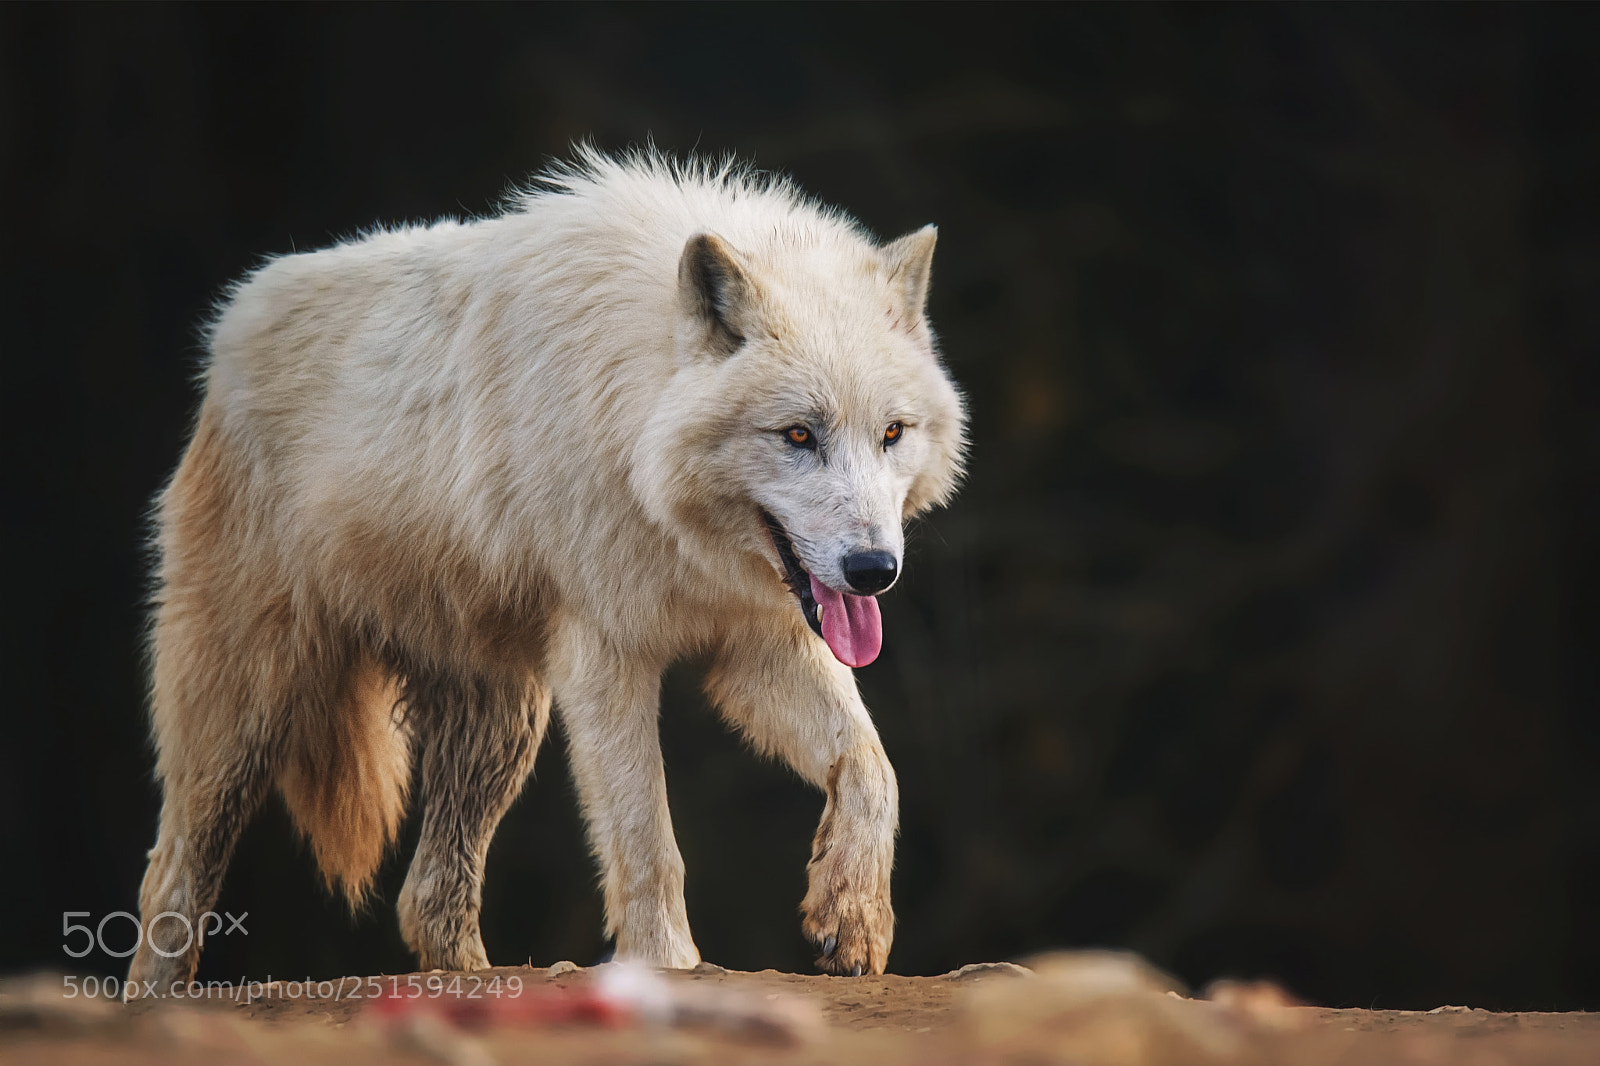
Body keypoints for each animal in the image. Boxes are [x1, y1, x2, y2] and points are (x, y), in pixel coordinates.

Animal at [127, 149, 967, 992]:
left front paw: (852, 918)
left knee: (425, 897)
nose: (874, 569)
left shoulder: (756, 642)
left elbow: (873, 768)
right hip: (247, 711)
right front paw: (667, 966)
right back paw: (152, 997)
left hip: (502, 727)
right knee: (170, 872)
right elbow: (646, 839)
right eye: (797, 435)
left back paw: (477, 981)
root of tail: (234, 320)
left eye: (892, 433)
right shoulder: (605, 657)